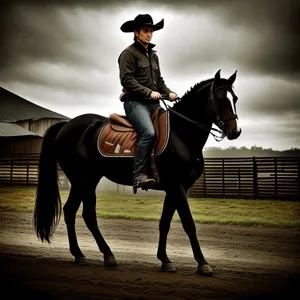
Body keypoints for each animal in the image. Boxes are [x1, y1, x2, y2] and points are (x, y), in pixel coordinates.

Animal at [34, 70, 243, 276]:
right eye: (219, 98)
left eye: (235, 98)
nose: (236, 131)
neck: (181, 134)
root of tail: (66, 125)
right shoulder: (177, 186)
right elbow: (189, 223)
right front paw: (202, 263)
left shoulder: (174, 188)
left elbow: (165, 223)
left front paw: (165, 260)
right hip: (81, 180)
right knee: (80, 213)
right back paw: (87, 255)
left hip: (88, 180)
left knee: (77, 213)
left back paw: (98, 255)